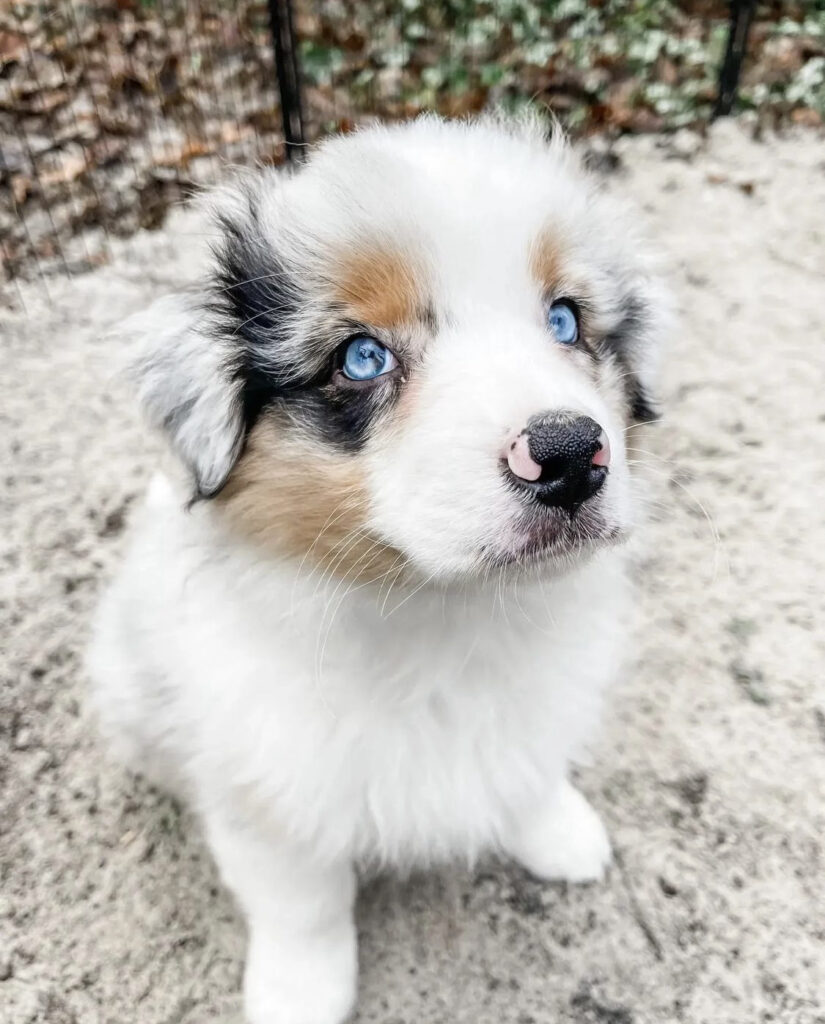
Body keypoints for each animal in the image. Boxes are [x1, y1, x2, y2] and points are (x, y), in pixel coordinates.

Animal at [89, 116, 671, 1024]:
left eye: (564, 320)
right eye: (362, 358)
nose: (571, 454)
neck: (440, 612)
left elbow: (527, 770)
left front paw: (558, 832)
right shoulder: (269, 788)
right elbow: (304, 906)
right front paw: (298, 994)